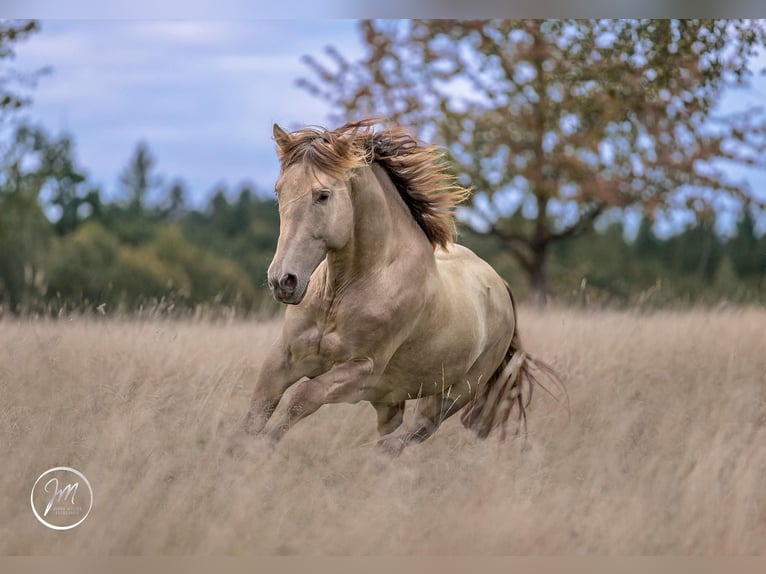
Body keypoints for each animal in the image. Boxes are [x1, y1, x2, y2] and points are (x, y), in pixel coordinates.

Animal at [237, 118, 560, 460]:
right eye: (279, 190)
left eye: (322, 195)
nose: (283, 281)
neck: (342, 293)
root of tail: (501, 286)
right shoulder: (285, 356)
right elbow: (257, 409)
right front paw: (233, 453)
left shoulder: (361, 371)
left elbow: (302, 398)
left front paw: (260, 451)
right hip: (390, 400)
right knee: (393, 437)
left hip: (450, 396)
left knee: (408, 437)